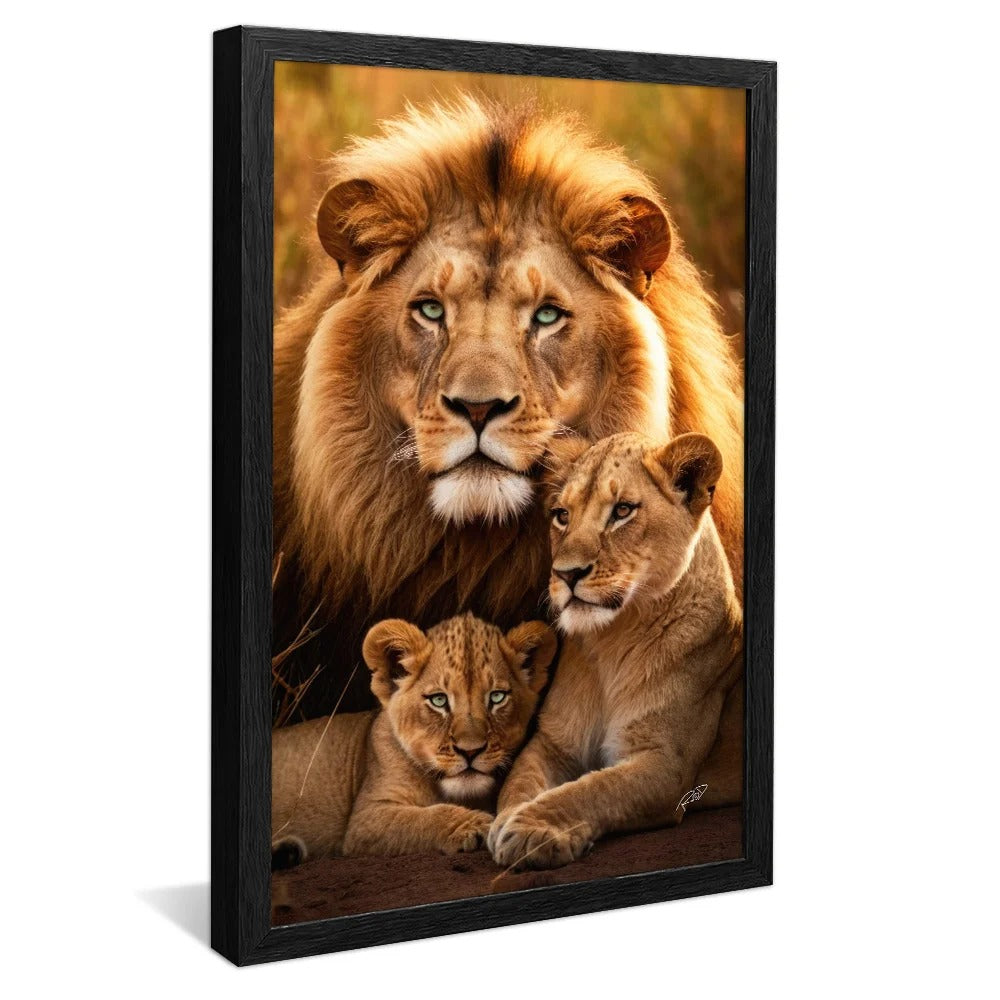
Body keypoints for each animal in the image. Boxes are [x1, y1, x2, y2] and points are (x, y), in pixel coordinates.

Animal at [271, 612, 556, 865]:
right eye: (438, 700)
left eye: (496, 697)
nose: (470, 751)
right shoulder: (365, 819)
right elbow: (421, 819)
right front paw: (476, 824)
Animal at [487, 432, 743, 870]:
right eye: (561, 515)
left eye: (622, 511)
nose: (566, 574)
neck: (613, 641)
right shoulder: (552, 743)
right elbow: (519, 784)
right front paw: (509, 818)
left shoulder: (666, 765)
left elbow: (594, 790)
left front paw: (531, 828)